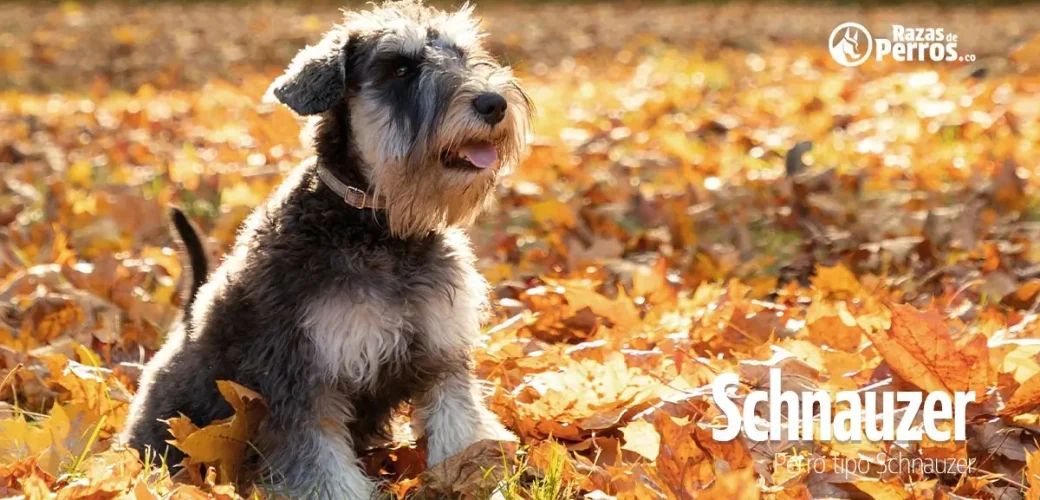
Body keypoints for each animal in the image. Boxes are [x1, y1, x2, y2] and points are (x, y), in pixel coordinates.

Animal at [119, 1, 536, 496]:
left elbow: (461, 434)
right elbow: (323, 468)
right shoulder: (302, 380)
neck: (380, 230)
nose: (493, 103)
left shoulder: (442, 359)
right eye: (399, 67)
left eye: (463, 53)